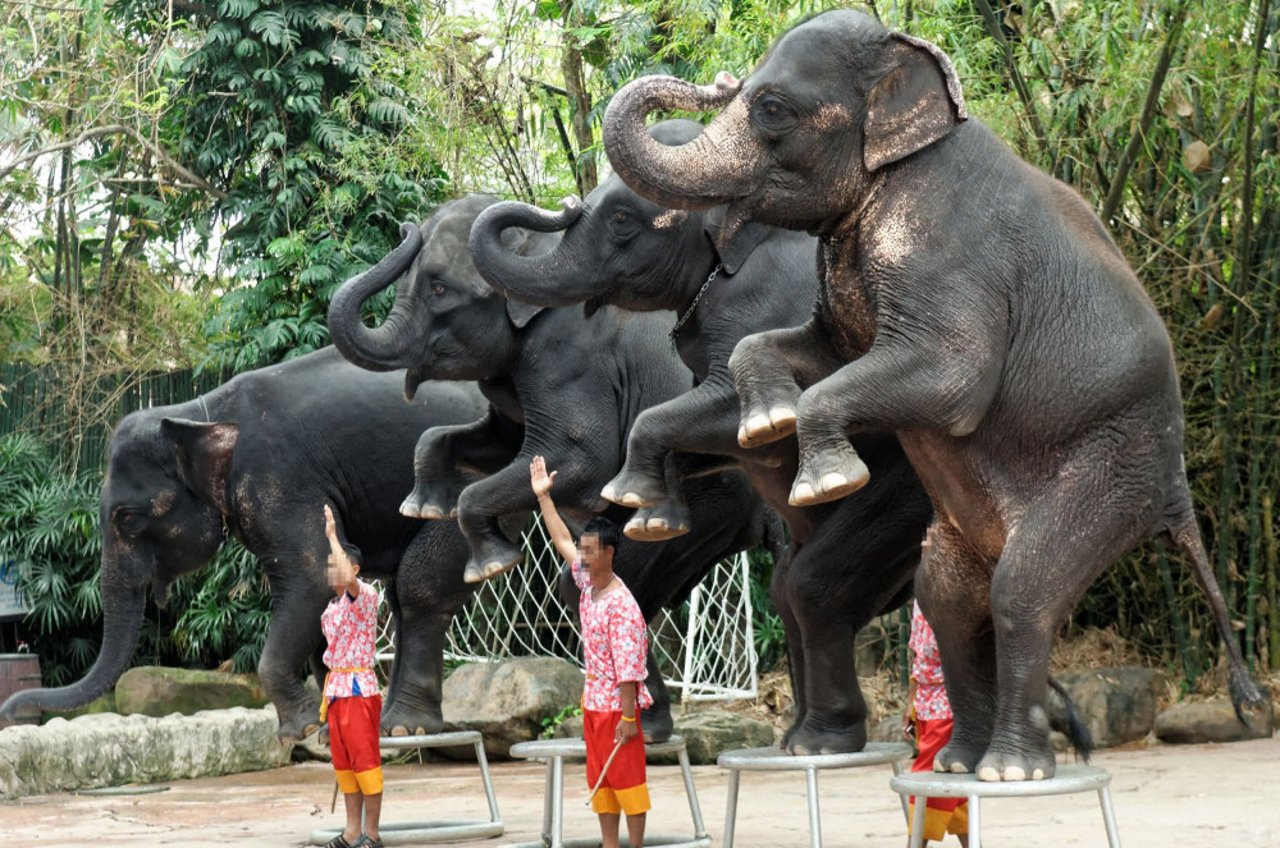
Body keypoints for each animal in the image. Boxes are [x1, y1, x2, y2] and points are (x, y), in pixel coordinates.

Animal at [0, 348, 486, 742]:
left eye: (129, 519)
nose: (11, 712)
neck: (197, 412)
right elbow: (320, 589)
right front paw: (327, 731)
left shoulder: (277, 477)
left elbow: (314, 573)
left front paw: (301, 731)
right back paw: (394, 726)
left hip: (461, 485)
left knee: (418, 586)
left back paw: (405, 728)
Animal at [325, 195, 773, 742]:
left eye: (438, 289)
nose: (407, 226)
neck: (543, 252)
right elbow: (490, 443)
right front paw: (424, 506)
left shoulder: (566, 356)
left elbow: (581, 459)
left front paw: (492, 561)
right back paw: (648, 727)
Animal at [465, 121, 936, 758]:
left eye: (621, 218)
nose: (559, 202)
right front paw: (649, 511)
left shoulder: (765, 310)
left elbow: (746, 419)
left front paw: (629, 498)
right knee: (790, 589)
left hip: (904, 493)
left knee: (811, 586)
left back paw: (818, 745)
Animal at [601, 9, 1269, 783]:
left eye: (770, 108)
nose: (714, 78)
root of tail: (1178, 492)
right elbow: (819, 352)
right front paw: (766, 422)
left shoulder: (946, 248)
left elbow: (950, 379)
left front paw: (826, 479)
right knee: (948, 597)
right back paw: (956, 765)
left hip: (1116, 466)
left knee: (1024, 586)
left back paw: (1008, 772)